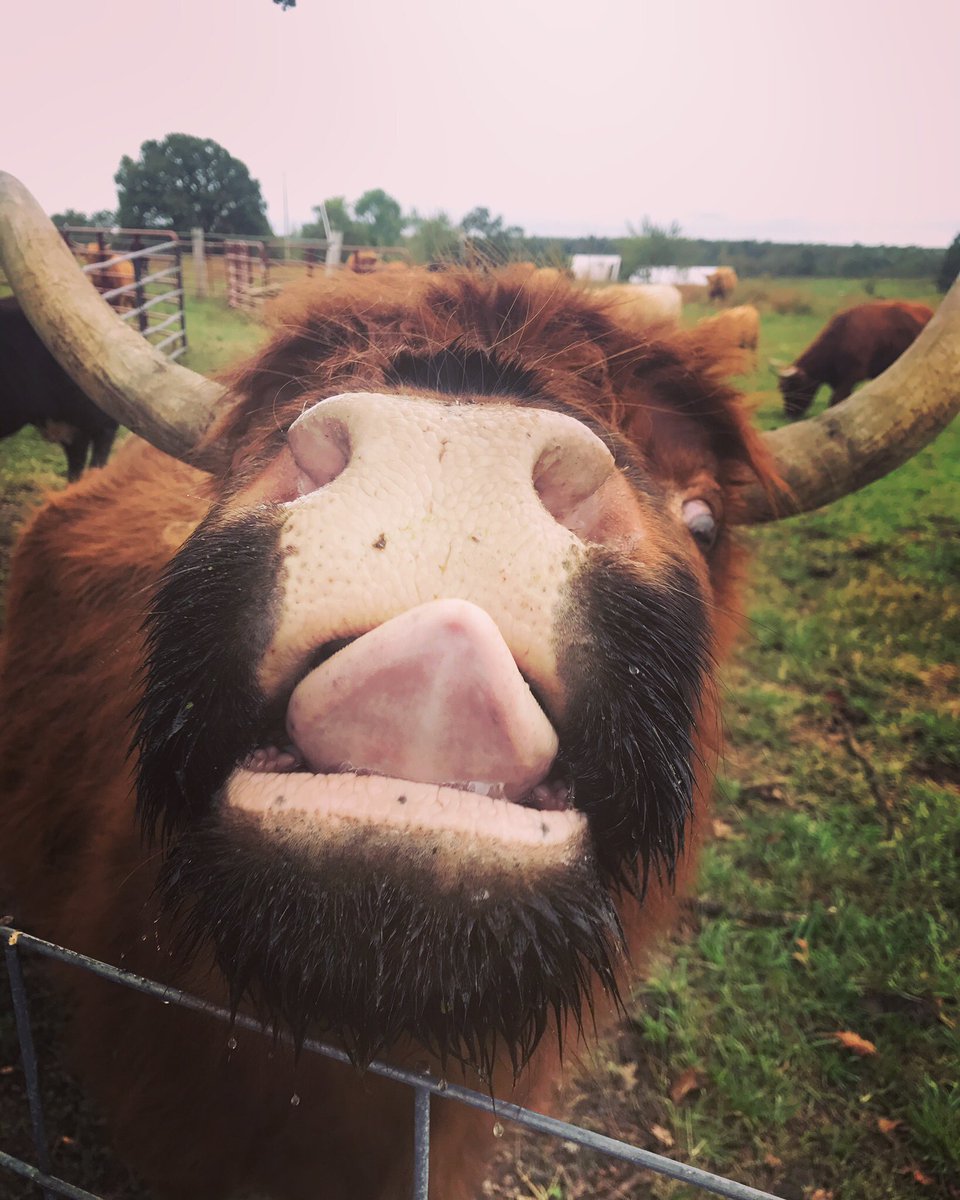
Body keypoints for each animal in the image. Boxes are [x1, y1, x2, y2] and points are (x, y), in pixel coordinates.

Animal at [774, 300, 934, 419]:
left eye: (794, 387)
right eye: (782, 389)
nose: (789, 413)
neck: (840, 336)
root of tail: (927, 310)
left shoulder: (852, 376)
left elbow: (836, 399)